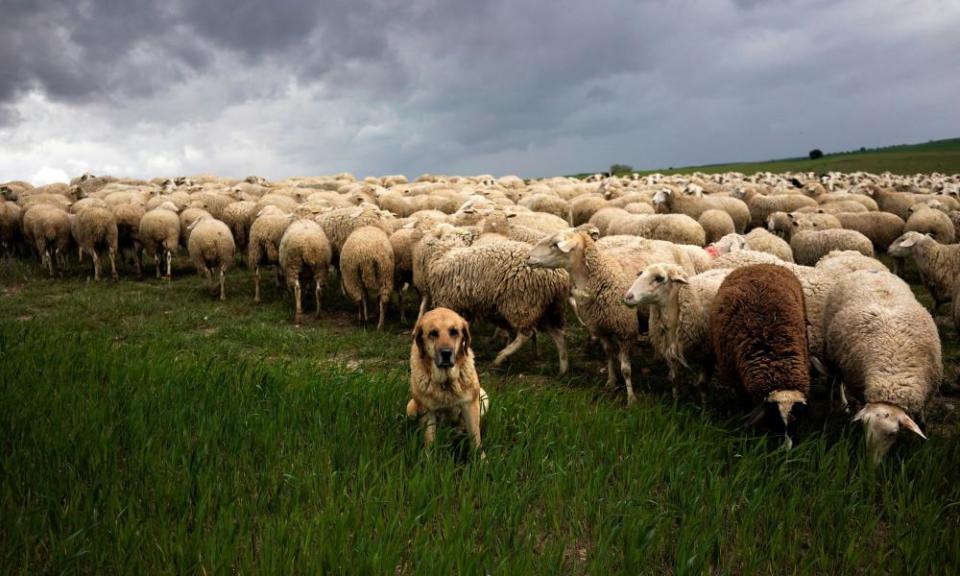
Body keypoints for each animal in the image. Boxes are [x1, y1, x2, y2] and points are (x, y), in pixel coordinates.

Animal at [408, 308, 492, 456]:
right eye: (433, 333)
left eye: (454, 332)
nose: (446, 353)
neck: (445, 382)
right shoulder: (428, 412)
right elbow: (429, 440)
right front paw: (429, 459)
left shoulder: (469, 405)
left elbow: (476, 438)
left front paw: (480, 459)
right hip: (411, 408)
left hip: (483, 398)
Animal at [620, 262, 732, 400]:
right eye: (640, 274)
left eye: (659, 278)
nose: (628, 297)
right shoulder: (671, 353)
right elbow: (675, 380)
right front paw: (676, 402)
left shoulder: (707, 354)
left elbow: (702, 384)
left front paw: (704, 404)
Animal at [820, 270, 940, 464]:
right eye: (864, 429)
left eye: (893, 433)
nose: (870, 465)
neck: (892, 376)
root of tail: (867, 270)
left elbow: (921, 419)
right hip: (831, 352)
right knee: (834, 381)